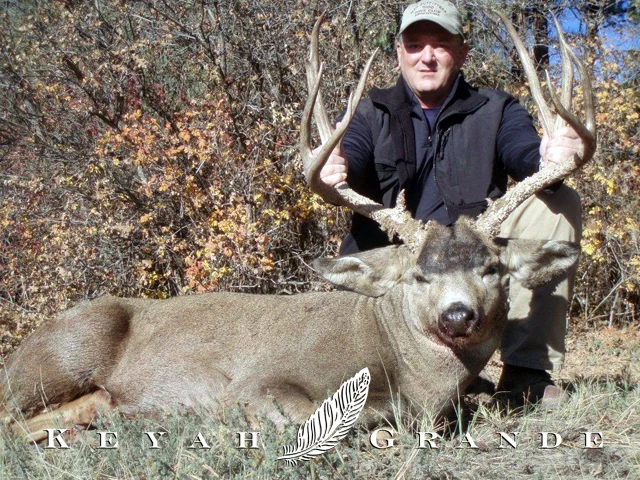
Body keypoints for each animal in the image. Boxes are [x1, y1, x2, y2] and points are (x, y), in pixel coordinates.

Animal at [0, 12, 595, 444]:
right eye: (418, 276)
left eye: (492, 268)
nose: (458, 315)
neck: (409, 372)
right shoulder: (259, 381)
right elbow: (332, 417)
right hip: (58, 356)